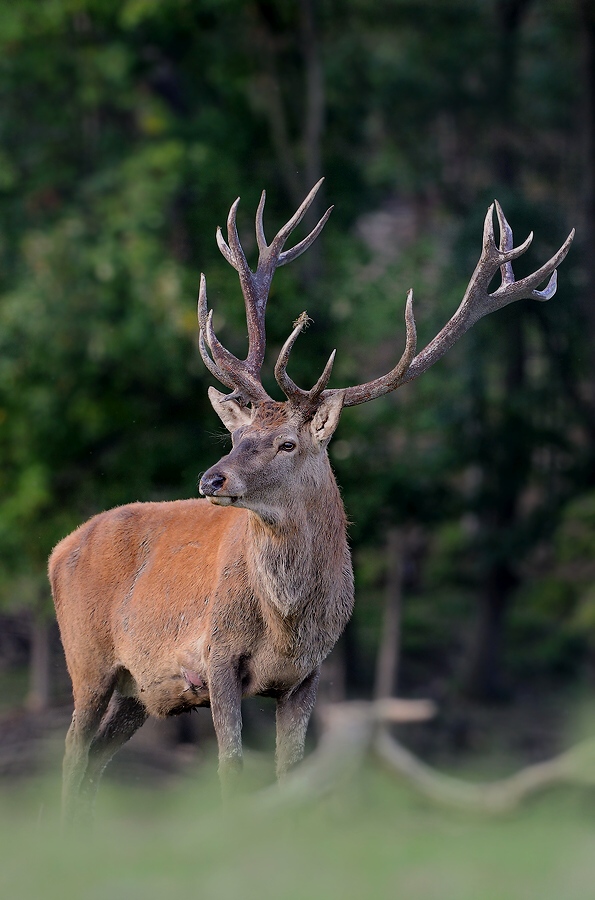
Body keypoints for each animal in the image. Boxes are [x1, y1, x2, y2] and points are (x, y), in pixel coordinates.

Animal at [49, 179, 573, 825]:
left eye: (287, 441)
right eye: (236, 435)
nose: (211, 479)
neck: (287, 622)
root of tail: (58, 549)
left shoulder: (307, 676)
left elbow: (290, 775)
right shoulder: (216, 657)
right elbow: (231, 770)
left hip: (141, 691)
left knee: (94, 763)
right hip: (87, 659)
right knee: (70, 756)